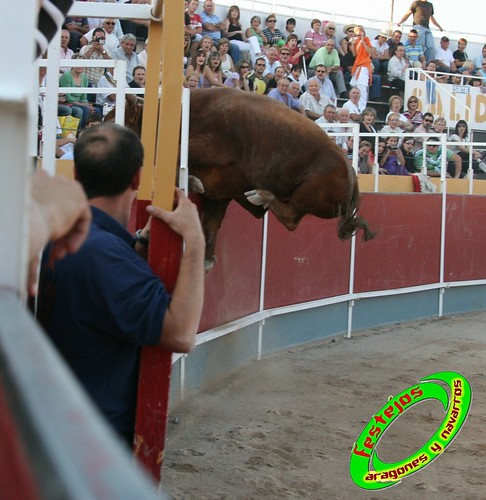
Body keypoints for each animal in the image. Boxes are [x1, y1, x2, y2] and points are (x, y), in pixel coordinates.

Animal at [188, 89, 374, 270]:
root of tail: (352, 175)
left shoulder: (209, 147)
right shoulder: (218, 195)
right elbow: (211, 225)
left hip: (306, 194)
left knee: (291, 219)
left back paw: (261, 195)